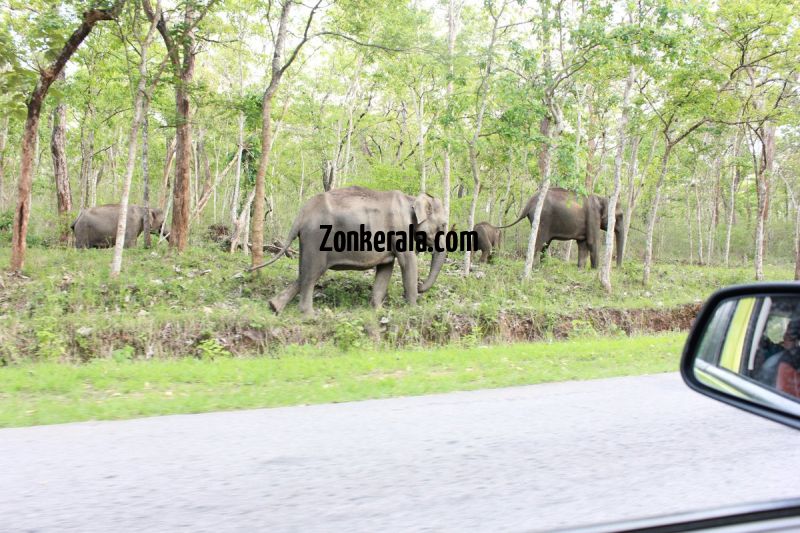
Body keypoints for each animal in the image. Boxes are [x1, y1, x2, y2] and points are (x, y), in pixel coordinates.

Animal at [255, 185, 446, 314]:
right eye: (443, 225)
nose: (421, 285)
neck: (411, 199)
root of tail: (302, 214)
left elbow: (385, 268)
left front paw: (377, 310)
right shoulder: (400, 229)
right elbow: (408, 261)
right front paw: (414, 309)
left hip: (306, 241)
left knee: (304, 272)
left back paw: (274, 306)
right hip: (316, 238)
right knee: (312, 273)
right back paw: (309, 315)